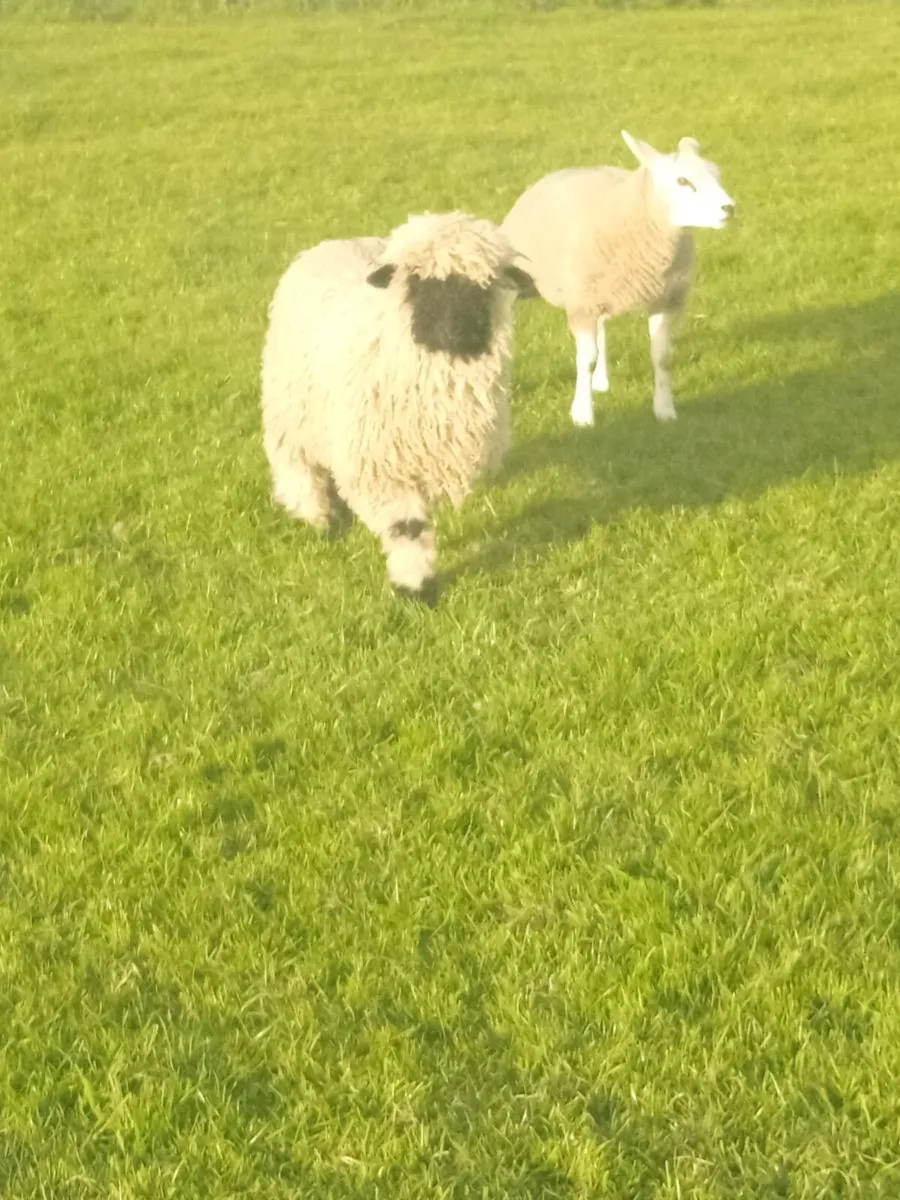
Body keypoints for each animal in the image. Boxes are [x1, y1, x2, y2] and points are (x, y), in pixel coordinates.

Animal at [261, 211, 535, 604]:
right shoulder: (380, 466)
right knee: (296, 463)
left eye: (482, 286)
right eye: (418, 281)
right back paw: (315, 516)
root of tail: (334, 243)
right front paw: (416, 587)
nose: (453, 333)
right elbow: (408, 527)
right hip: (288, 406)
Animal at [502, 130, 735, 427]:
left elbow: (662, 357)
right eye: (682, 181)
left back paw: (601, 382)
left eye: (717, 174)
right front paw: (583, 415)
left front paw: (665, 409)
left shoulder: (665, 300)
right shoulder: (582, 304)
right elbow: (586, 360)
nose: (729, 208)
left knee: (602, 328)